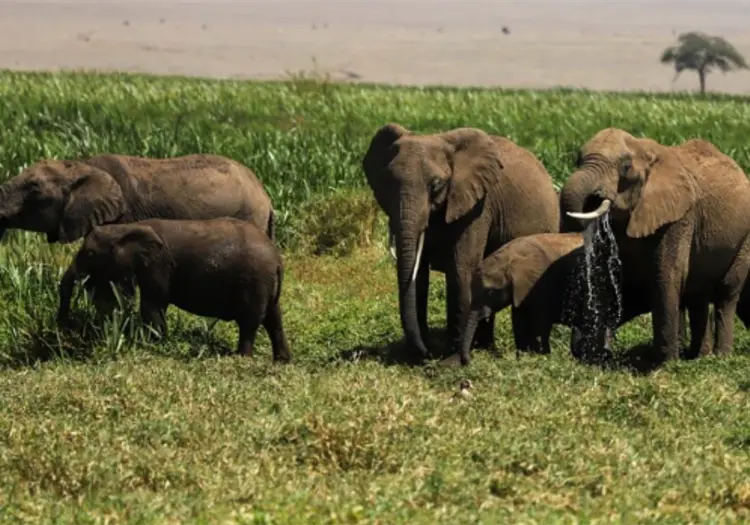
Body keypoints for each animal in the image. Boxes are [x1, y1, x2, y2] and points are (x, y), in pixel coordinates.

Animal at [0, 153, 275, 317]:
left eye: (34, 189)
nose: (62, 327)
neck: (81, 165)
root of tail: (266, 197)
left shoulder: (123, 218)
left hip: (251, 215)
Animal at [57, 218, 292, 362]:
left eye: (89, 254)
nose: (64, 333)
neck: (126, 227)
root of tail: (278, 261)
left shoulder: (158, 264)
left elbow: (153, 306)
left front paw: (156, 347)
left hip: (255, 281)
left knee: (249, 323)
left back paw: (241, 358)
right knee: (274, 320)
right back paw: (282, 362)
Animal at [362, 123, 560, 361]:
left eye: (436, 185)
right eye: (387, 182)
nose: (428, 353)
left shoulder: (478, 205)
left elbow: (461, 269)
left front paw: (452, 360)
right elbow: (418, 276)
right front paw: (416, 356)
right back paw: (483, 347)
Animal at [559, 128, 750, 361]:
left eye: (626, 167)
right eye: (577, 161)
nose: (577, 349)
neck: (647, 150)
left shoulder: (679, 216)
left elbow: (668, 273)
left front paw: (664, 363)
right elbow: (604, 273)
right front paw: (595, 358)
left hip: (744, 240)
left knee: (726, 293)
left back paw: (720, 357)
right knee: (698, 294)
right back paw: (698, 356)